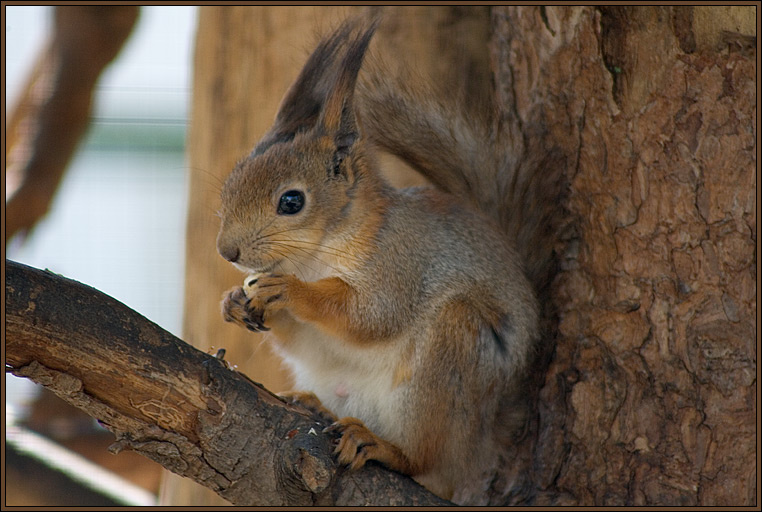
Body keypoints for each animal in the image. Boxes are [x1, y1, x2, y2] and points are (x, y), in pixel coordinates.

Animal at [217, 15, 564, 504]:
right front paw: (233, 300)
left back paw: (381, 445)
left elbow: (370, 315)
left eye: (291, 201)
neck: (316, 257)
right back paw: (315, 406)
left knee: (426, 463)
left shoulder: (402, 263)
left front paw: (291, 292)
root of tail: (481, 447)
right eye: (232, 181)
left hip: (451, 354)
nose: (226, 251)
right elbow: (300, 338)